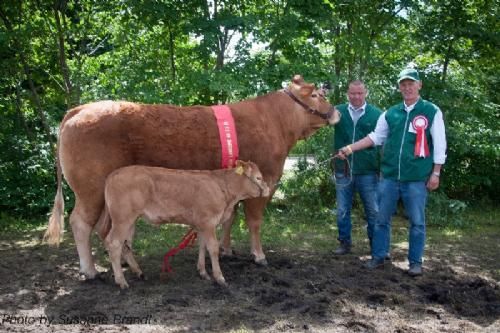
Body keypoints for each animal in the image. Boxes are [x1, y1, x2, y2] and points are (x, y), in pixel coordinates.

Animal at [101, 160, 270, 286]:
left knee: (126, 244)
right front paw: (219, 277)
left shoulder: (202, 224)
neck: (223, 188)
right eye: (258, 178)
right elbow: (213, 248)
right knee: (114, 243)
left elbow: (202, 246)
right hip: (122, 219)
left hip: (131, 220)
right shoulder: (209, 222)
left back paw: (139, 273)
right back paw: (121, 281)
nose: (268, 189)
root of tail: (114, 174)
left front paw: (203, 272)